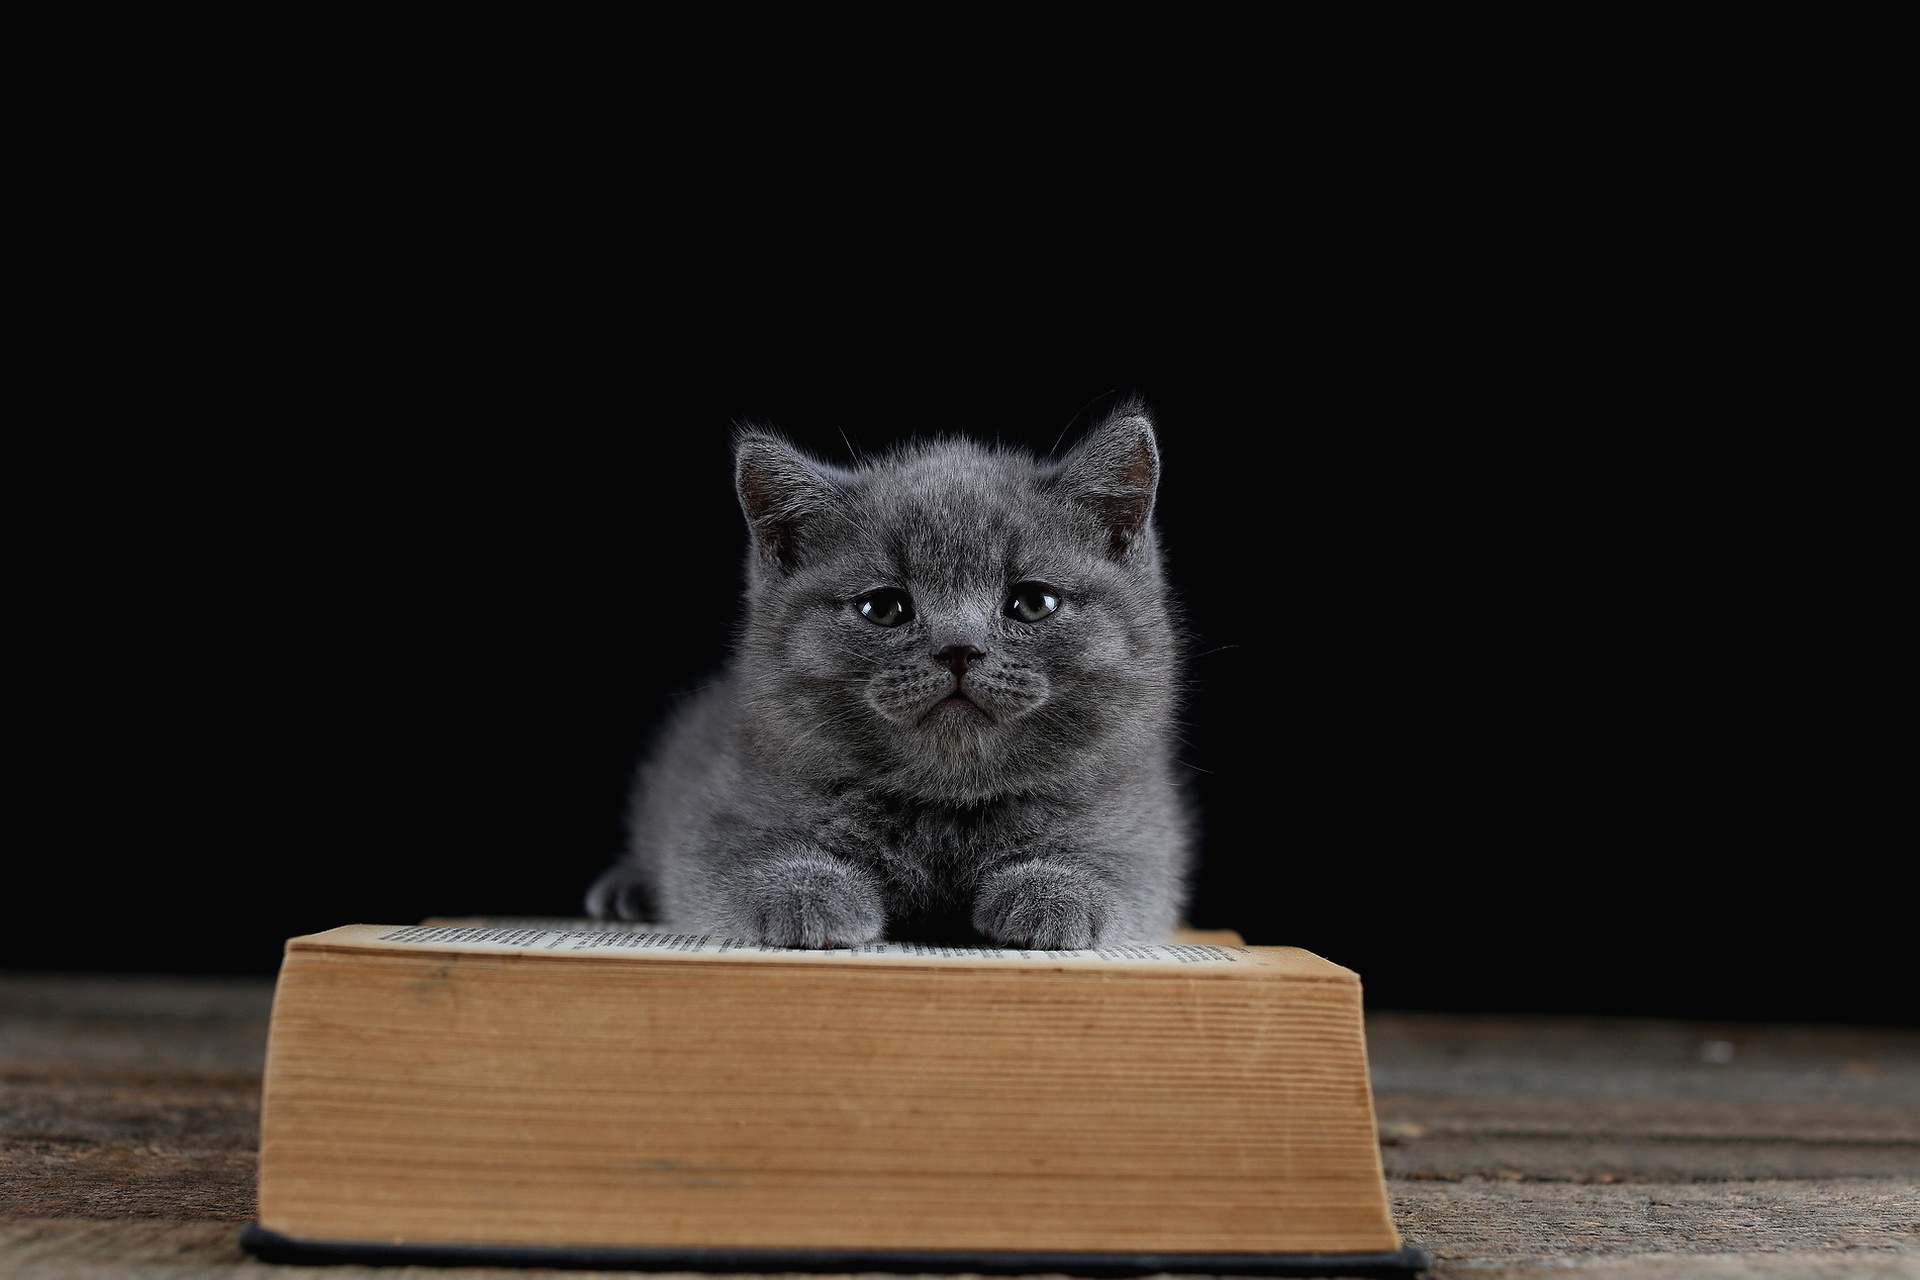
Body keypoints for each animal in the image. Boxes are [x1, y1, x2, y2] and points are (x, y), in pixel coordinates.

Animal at [583, 401, 1190, 951]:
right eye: (883, 608)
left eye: (1032, 603)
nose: (959, 649)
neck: (947, 808)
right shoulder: (720, 807)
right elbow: (732, 863)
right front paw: (810, 894)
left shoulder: (1141, 825)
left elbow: (1121, 867)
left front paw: (1054, 894)